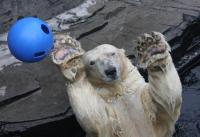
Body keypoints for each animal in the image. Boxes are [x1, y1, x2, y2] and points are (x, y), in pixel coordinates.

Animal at [51, 31, 183, 136]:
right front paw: (66, 52)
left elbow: (167, 100)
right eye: (92, 62)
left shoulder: (149, 111)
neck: (118, 91)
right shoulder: (111, 121)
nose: (110, 71)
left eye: (112, 53)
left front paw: (151, 48)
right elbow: (95, 118)